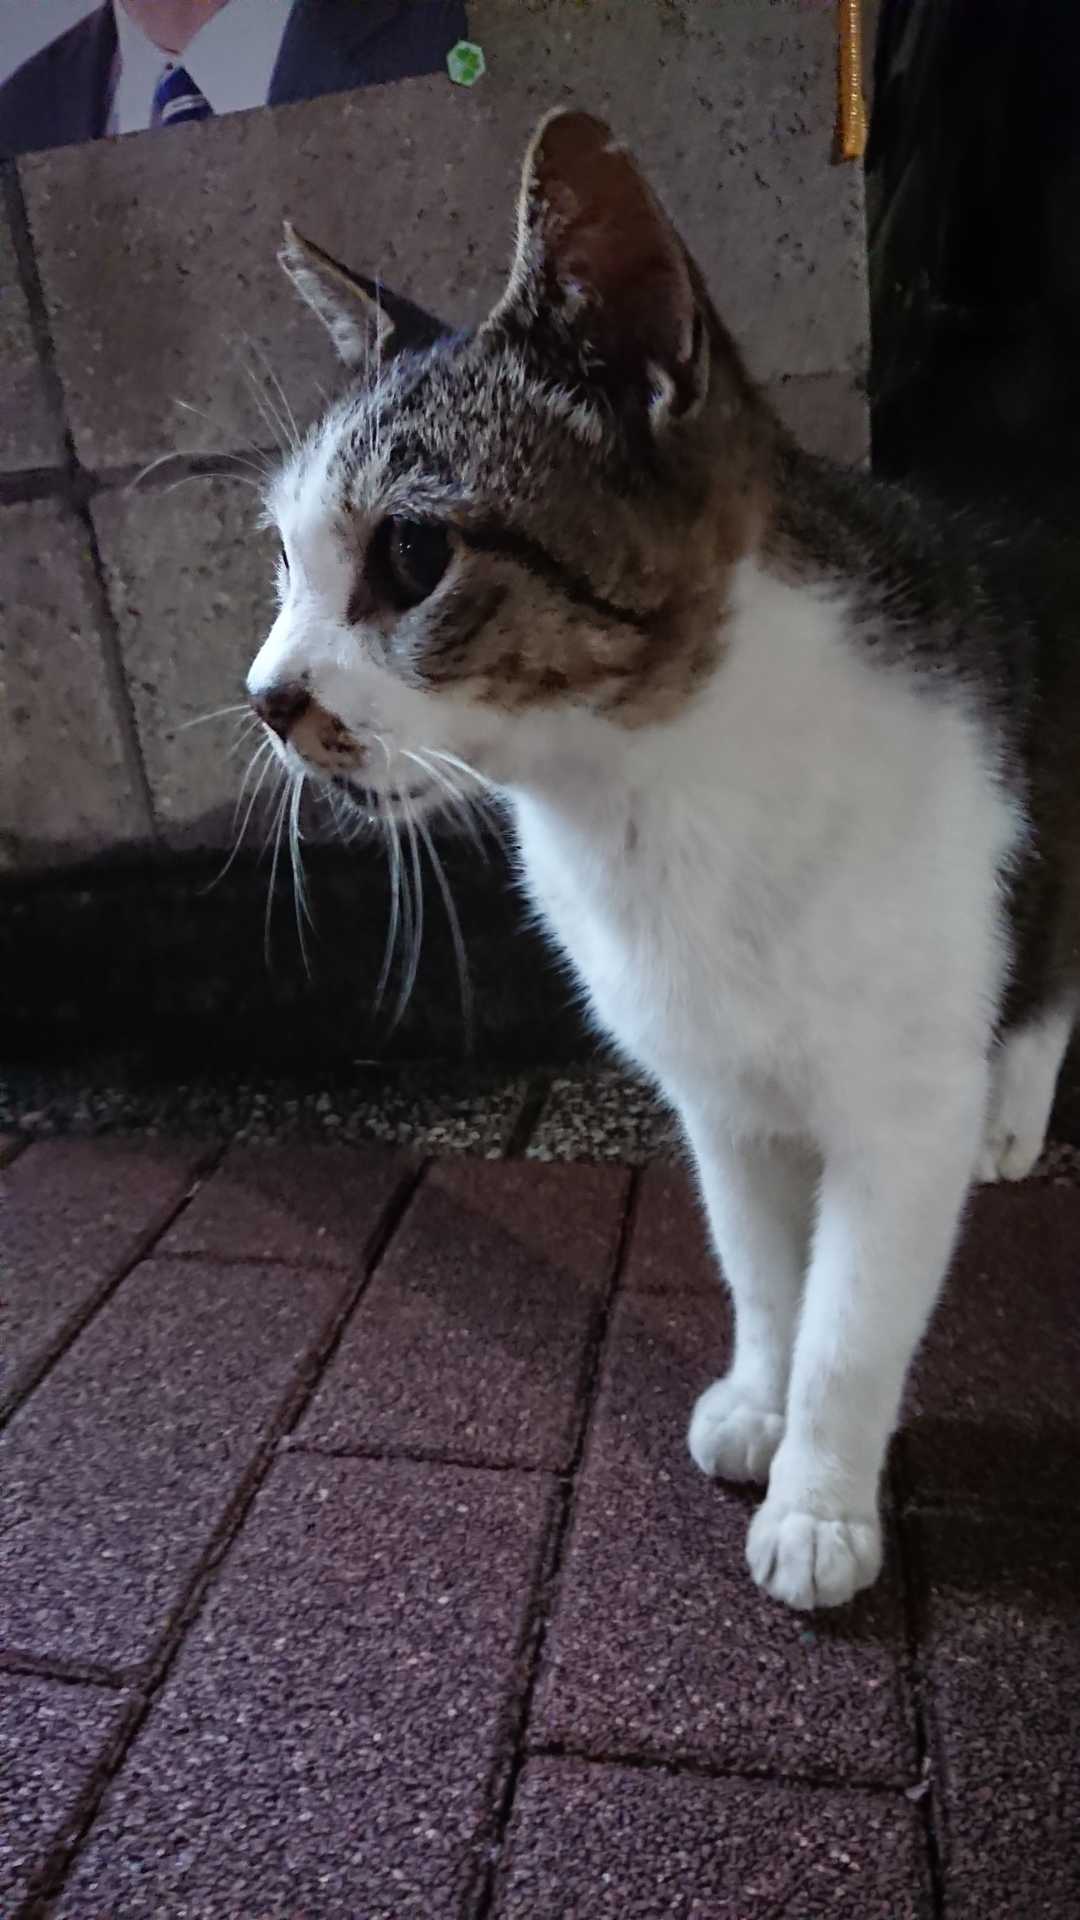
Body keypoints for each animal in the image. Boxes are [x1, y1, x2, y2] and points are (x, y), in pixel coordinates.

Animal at [246, 110, 1080, 1610]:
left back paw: (1013, 1116)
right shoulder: (719, 1100)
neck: (653, 804)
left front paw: (819, 1502)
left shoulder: (900, 1112)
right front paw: (758, 1397)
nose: (265, 696)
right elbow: (763, 1274)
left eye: (412, 552)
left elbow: (852, 1324)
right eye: (282, 559)